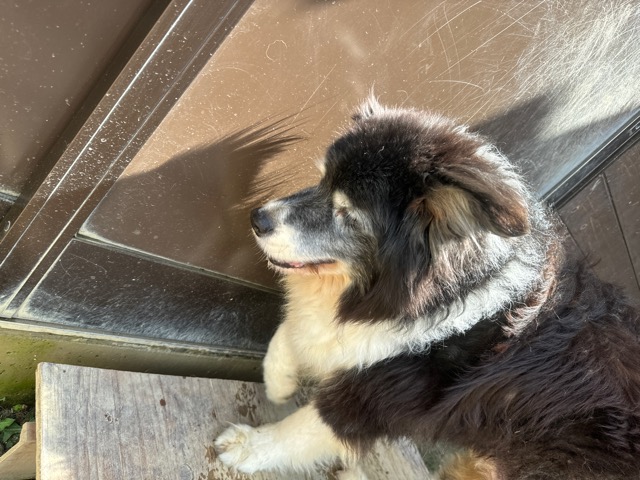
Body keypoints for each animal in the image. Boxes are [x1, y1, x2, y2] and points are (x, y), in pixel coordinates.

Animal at [214, 98, 640, 479]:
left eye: (347, 214)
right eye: (321, 179)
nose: (257, 219)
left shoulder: (381, 394)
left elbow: (303, 427)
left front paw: (247, 446)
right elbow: (294, 332)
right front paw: (278, 383)